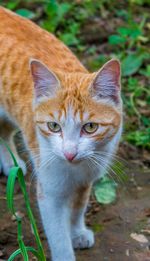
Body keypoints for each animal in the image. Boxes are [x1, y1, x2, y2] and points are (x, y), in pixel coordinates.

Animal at [0, 6, 122, 260]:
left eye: (90, 127)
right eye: (53, 126)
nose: (69, 153)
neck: (75, 169)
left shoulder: (86, 180)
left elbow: (77, 209)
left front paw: (77, 232)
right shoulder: (50, 193)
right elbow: (58, 236)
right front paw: (66, 249)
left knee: (4, 131)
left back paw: (11, 161)